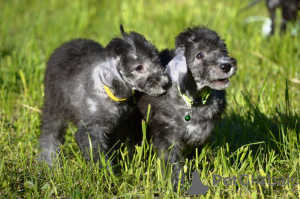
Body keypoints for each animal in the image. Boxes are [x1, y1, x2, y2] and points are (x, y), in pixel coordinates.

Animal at [39, 26, 170, 166]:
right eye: (139, 67)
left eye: (155, 59)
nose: (166, 83)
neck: (107, 92)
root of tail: (64, 45)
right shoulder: (92, 130)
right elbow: (98, 156)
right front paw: (107, 170)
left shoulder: (120, 125)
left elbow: (115, 147)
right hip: (53, 106)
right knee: (49, 134)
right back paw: (49, 162)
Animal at [136, 26, 237, 188]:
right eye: (199, 55)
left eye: (222, 50)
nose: (226, 65)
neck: (193, 101)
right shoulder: (167, 135)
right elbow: (171, 163)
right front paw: (176, 186)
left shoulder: (203, 133)